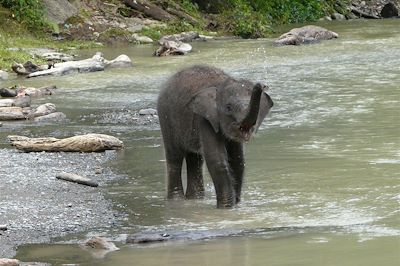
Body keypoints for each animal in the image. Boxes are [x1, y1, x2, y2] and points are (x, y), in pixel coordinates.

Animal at [158, 64, 274, 208]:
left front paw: (236, 205)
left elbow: (238, 161)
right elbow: (216, 159)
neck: (220, 84)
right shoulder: (205, 118)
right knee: (175, 157)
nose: (262, 85)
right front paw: (226, 208)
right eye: (229, 108)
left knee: (194, 159)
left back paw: (195, 199)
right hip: (166, 118)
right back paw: (177, 201)